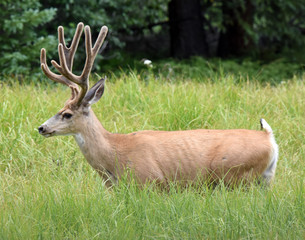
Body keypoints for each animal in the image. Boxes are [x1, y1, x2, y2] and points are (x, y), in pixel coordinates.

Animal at [38, 22, 278, 188]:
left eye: (67, 114)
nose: (41, 127)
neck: (114, 155)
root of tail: (269, 138)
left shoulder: (150, 181)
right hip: (264, 180)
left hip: (235, 176)